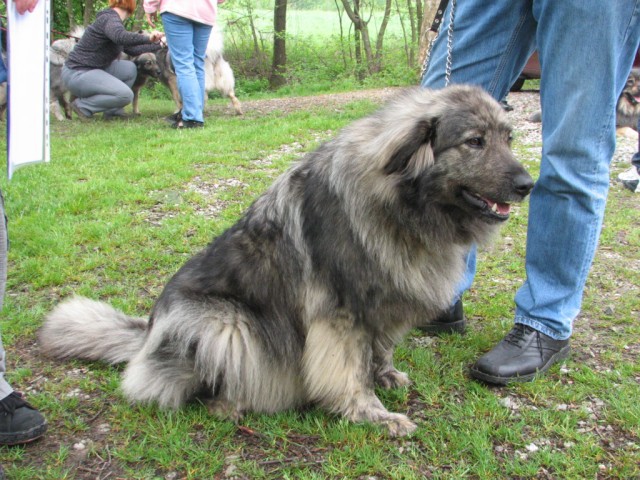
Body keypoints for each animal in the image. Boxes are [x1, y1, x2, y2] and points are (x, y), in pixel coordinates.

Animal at [40, 84, 536, 436]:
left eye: (508, 138)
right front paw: (372, 414)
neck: (403, 202)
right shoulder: (339, 315)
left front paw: (387, 375)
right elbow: (351, 373)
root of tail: (145, 335)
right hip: (226, 324)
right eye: (474, 141)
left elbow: (380, 349)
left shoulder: (381, 302)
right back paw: (229, 404)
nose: (527, 184)